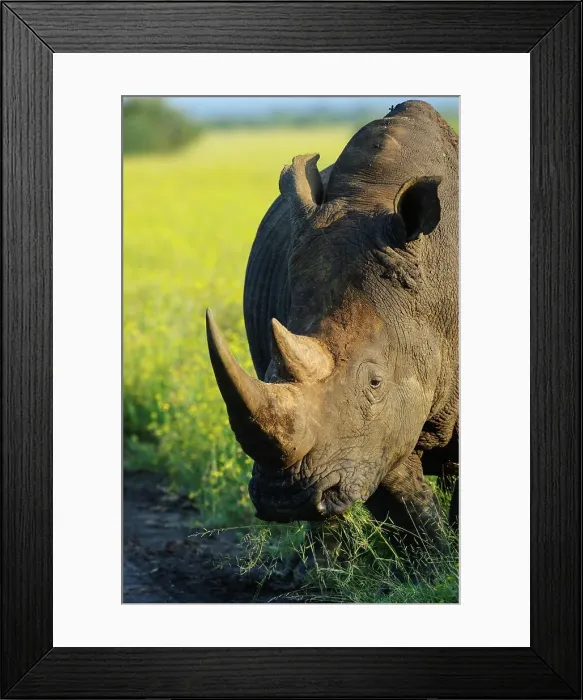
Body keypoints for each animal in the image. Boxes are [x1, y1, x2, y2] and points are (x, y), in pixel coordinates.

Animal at [207, 100, 458, 538]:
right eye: (267, 369)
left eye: (375, 382)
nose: (285, 499)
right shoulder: (368, 441)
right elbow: (410, 509)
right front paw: (434, 553)